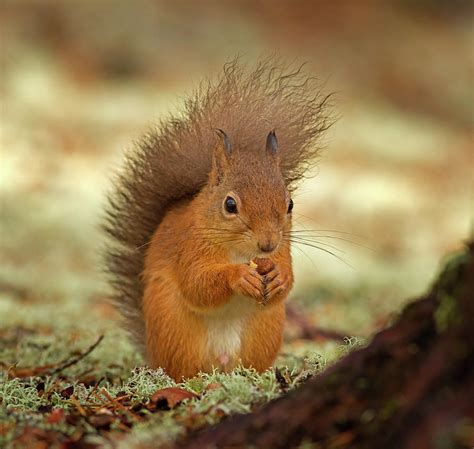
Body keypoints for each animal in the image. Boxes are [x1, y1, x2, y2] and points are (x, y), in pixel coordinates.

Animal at [104, 59, 330, 380]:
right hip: (172, 325)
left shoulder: (283, 249)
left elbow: (286, 282)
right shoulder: (190, 246)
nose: (267, 244)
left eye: (290, 204)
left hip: (267, 327)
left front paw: (279, 276)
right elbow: (197, 285)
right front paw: (239, 276)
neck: (240, 252)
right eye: (230, 204)